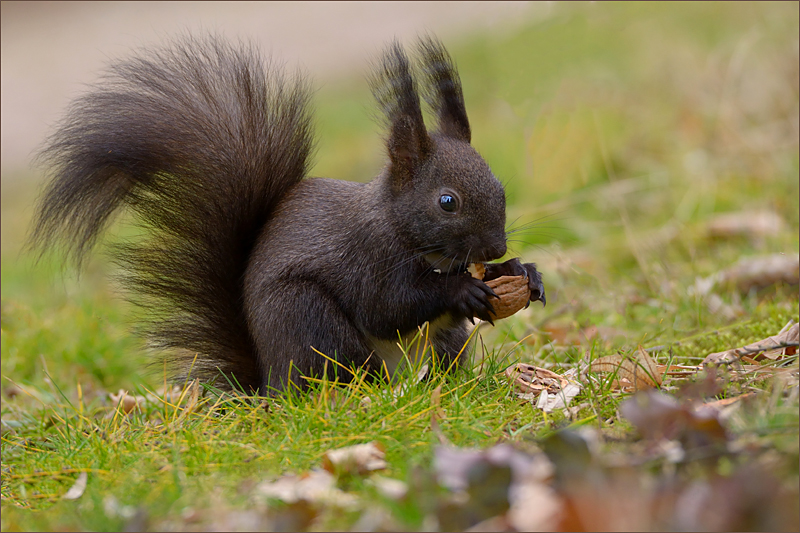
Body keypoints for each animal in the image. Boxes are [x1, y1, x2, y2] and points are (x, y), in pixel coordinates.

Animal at [29, 33, 544, 390]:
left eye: (499, 184)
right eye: (447, 201)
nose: (496, 245)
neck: (402, 229)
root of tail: (269, 386)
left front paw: (522, 272)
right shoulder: (366, 257)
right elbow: (386, 306)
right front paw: (462, 290)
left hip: (436, 346)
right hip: (307, 319)